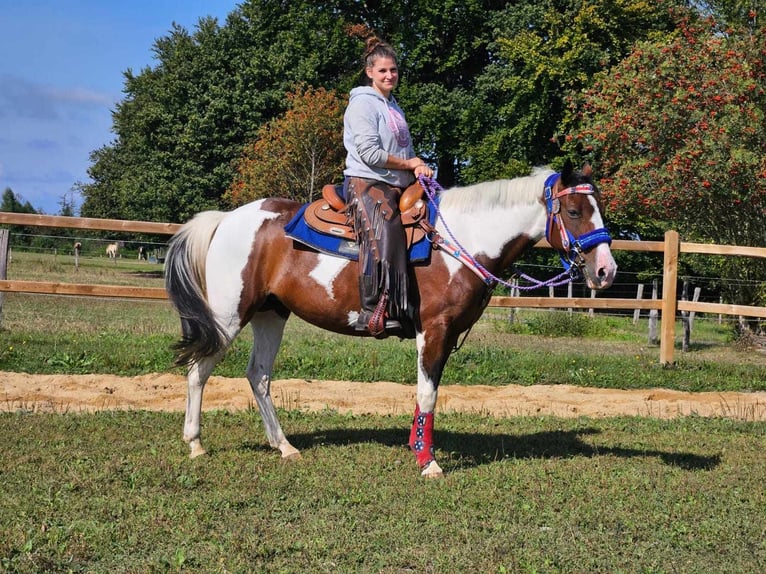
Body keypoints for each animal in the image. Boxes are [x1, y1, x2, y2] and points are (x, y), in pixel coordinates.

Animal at [165, 161, 620, 476]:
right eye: (574, 211)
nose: (606, 271)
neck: (461, 240)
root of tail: (226, 219)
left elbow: (426, 394)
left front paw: (418, 449)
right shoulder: (433, 330)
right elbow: (428, 394)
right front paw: (428, 462)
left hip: (271, 314)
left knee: (258, 375)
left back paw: (285, 446)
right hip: (228, 314)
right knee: (199, 371)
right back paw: (195, 443)